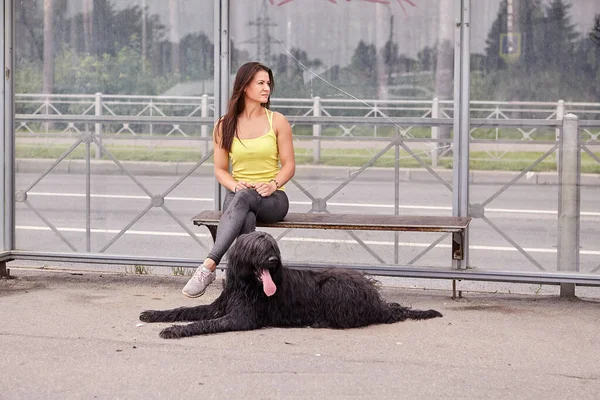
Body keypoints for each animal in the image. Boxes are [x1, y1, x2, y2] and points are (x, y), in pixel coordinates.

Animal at [139, 231, 440, 338]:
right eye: (258, 247)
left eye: (272, 246)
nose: (273, 260)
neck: (246, 285)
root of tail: (377, 300)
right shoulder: (220, 306)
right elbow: (186, 310)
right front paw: (154, 315)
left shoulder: (241, 317)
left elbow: (203, 323)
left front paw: (174, 329)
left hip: (333, 287)